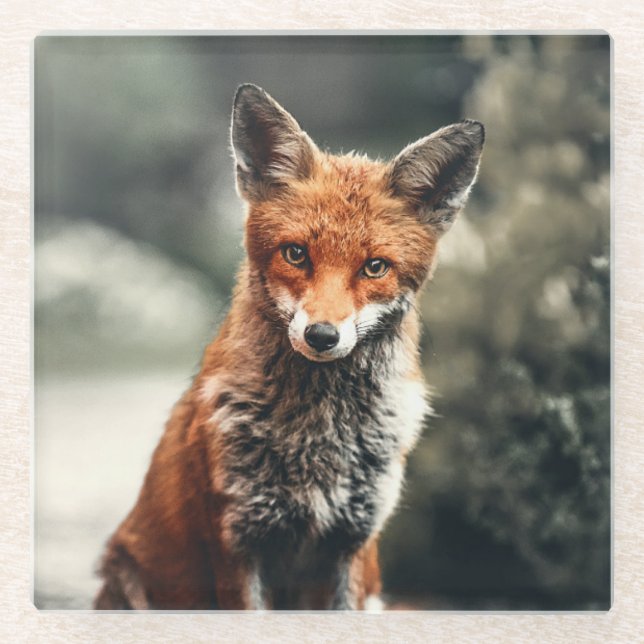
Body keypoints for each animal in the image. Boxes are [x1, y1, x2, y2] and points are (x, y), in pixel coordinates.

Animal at [93, 84, 484, 611]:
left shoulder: (352, 542)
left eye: (375, 267)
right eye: (296, 254)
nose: (322, 335)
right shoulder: (237, 541)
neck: (319, 436)